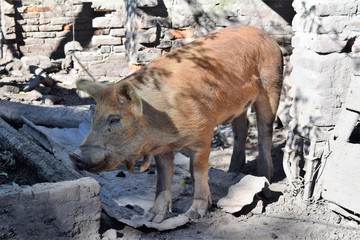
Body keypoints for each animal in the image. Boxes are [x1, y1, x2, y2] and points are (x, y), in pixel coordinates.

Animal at [71, 25, 284, 223]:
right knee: (242, 127)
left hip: (272, 84)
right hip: (239, 104)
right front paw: (150, 218)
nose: (75, 155)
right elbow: (163, 178)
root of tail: (265, 35)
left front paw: (193, 215)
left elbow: (197, 171)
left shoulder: (203, 133)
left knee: (265, 130)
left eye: (115, 119)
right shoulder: (162, 147)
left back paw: (266, 179)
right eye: (94, 117)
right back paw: (233, 171)